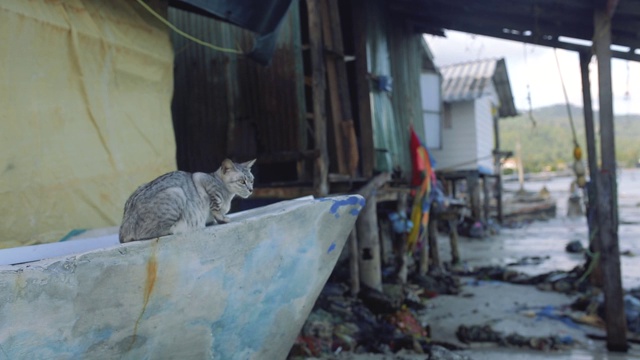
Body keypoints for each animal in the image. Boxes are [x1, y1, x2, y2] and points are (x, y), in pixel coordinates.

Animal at [119, 159, 254, 243]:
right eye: (242, 181)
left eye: (252, 180)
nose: (251, 189)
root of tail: (123, 228)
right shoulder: (202, 180)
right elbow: (216, 206)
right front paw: (222, 218)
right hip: (176, 192)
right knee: (153, 234)